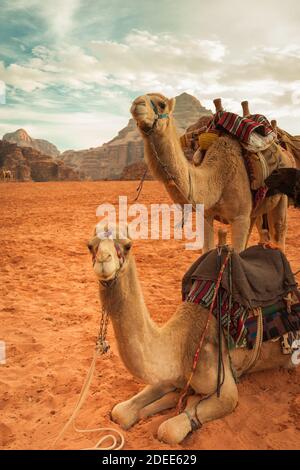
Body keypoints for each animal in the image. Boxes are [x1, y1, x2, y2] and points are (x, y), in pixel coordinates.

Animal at [87, 226, 298, 446]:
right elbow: (120, 412)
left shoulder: (225, 390)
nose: (103, 260)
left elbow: (168, 430)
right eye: (90, 246)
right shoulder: (170, 375)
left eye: (128, 246)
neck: (182, 344)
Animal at [129, 92, 292, 253]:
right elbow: (207, 249)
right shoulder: (206, 215)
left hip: (280, 200)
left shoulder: (240, 218)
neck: (219, 177)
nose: (136, 104)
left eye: (162, 104)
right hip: (256, 209)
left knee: (279, 230)